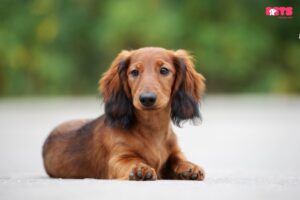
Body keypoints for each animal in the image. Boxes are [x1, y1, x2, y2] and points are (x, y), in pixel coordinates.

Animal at [42, 47, 206, 181]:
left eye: (164, 70)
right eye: (134, 72)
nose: (147, 99)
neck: (152, 129)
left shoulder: (175, 153)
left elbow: (179, 160)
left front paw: (190, 167)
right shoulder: (118, 159)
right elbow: (132, 161)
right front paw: (141, 169)